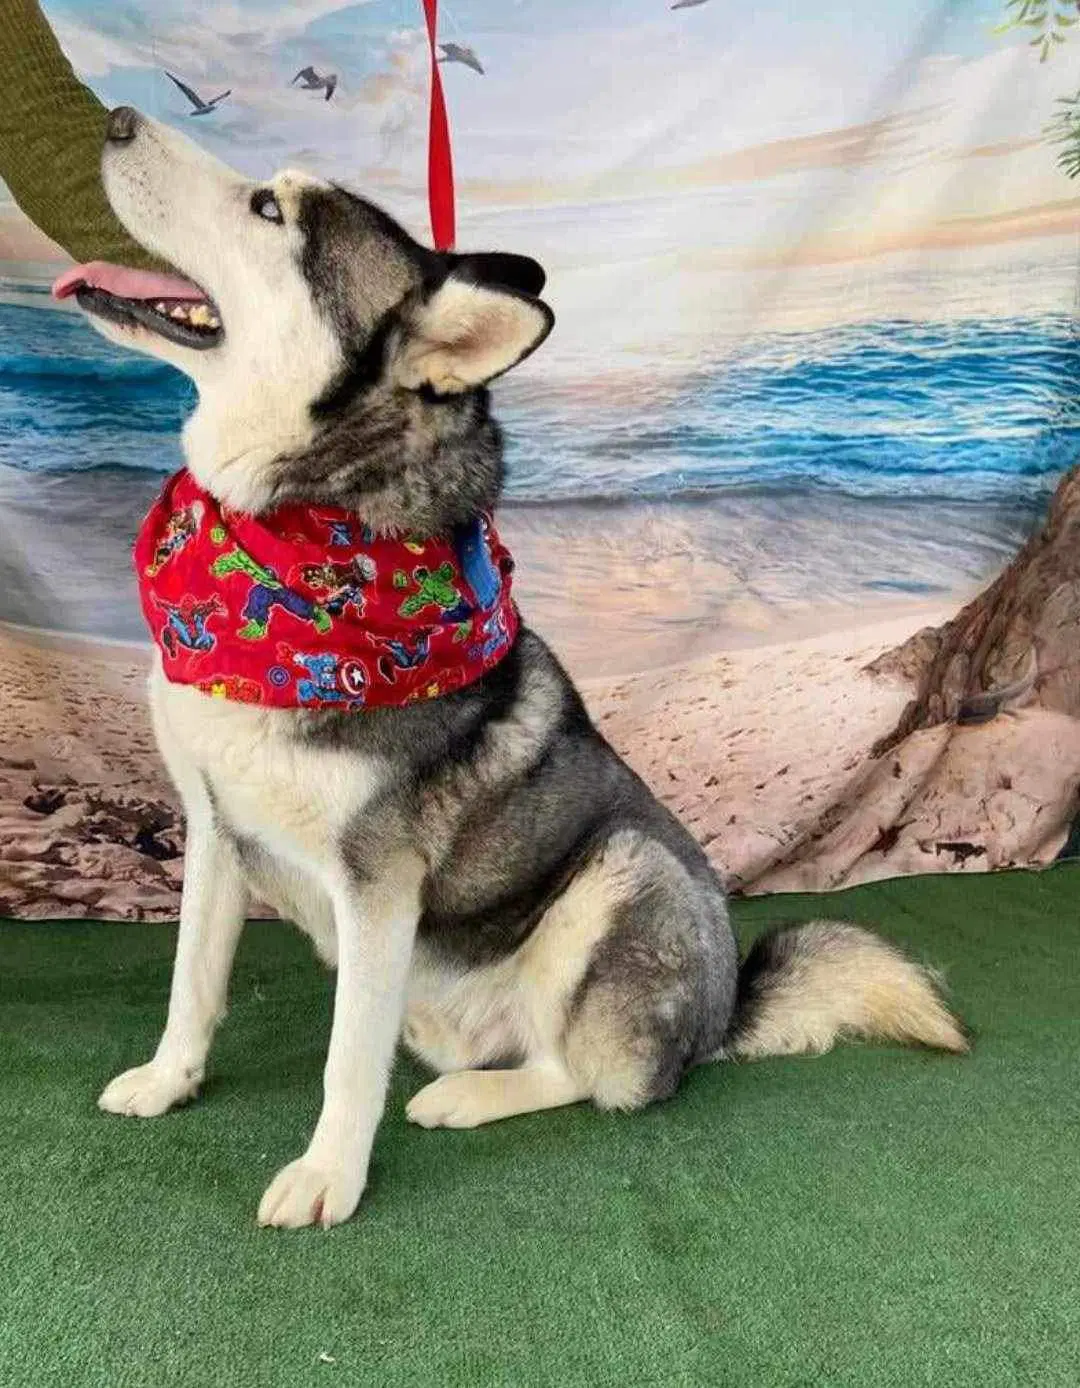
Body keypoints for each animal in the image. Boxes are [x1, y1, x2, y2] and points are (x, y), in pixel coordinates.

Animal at [57, 107, 966, 1229]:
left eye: (271, 208)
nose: (115, 118)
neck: (303, 541)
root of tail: (723, 1013)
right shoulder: (217, 828)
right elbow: (193, 982)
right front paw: (170, 1078)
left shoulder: (378, 882)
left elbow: (344, 1061)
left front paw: (328, 1174)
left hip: (628, 871)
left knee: (597, 1074)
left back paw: (465, 1098)